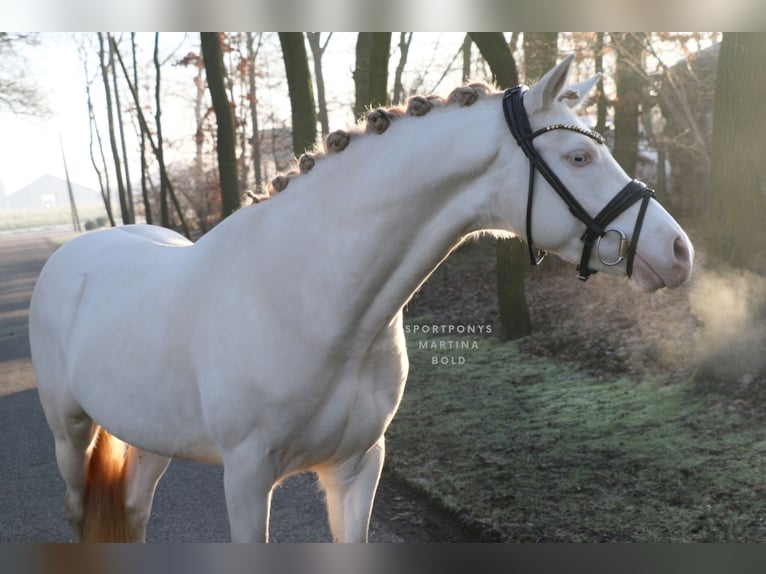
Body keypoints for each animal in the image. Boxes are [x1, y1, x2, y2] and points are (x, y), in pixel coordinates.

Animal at [30, 55, 696, 544]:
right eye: (579, 156)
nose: (678, 250)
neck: (316, 305)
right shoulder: (246, 480)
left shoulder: (357, 469)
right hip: (69, 435)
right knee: (77, 509)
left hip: (149, 439)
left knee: (134, 511)